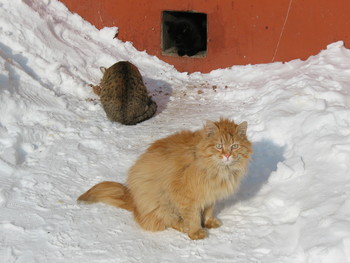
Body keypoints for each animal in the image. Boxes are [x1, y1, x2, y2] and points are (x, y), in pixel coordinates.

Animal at [77, 118, 252, 240]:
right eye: (218, 146)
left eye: (235, 146)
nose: (227, 155)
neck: (218, 171)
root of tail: (134, 202)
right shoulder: (187, 197)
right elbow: (194, 217)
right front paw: (196, 232)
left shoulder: (210, 196)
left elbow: (208, 212)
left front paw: (209, 223)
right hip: (162, 203)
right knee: (169, 221)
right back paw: (184, 226)